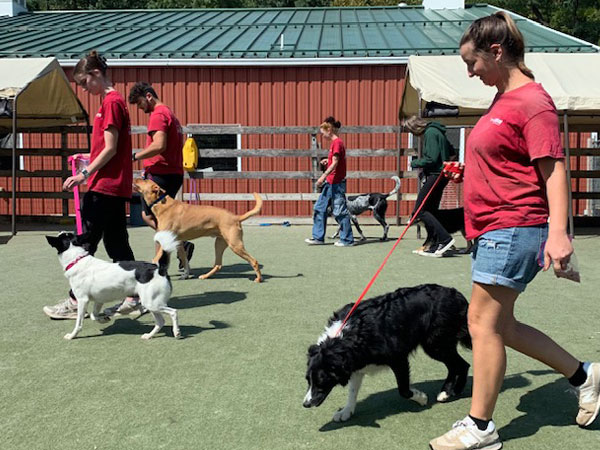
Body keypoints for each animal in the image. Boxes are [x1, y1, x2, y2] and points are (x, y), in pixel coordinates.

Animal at [135, 178, 264, 282]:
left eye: (145, 180)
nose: (136, 178)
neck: (162, 204)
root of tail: (236, 217)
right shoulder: (177, 242)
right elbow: (185, 260)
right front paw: (185, 275)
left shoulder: (165, 241)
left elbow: (155, 258)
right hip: (220, 243)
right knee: (218, 264)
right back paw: (205, 276)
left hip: (235, 245)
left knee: (254, 261)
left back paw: (258, 279)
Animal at [302, 284, 472, 422]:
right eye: (308, 381)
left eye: (321, 382)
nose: (305, 404)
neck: (348, 335)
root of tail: (456, 294)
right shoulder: (355, 364)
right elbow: (352, 392)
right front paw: (346, 411)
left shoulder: (399, 359)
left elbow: (404, 390)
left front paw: (421, 398)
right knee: (459, 365)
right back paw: (450, 391)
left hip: (436, 344)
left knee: (461, 364)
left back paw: (451, 391)